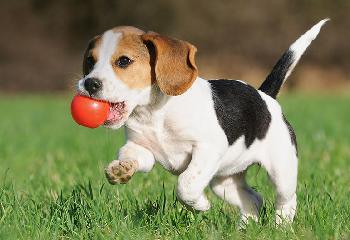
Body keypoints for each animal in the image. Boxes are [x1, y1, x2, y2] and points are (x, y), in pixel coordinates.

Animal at [76, 19, 328, 224]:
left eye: (124, 61)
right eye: (90, 61)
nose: (89, 83)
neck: (154, 113)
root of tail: (264, 96)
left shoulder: (207, 148)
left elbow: (186, 184)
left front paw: (200, 205)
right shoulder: (142, 149)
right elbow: (131, 155)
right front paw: (121, 169)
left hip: (282, 171)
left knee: (286, 200)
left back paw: (281, 226)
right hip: (224, 182)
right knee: (253, 200)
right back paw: (244, 229)